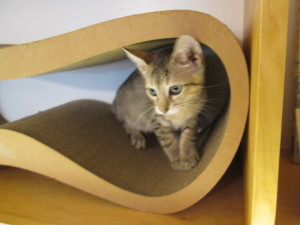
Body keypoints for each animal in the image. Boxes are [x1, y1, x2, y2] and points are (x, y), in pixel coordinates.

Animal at [112, 34, 206, 171]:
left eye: (176, 89)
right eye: (152, 91)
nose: (163, 109)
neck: (180, 113)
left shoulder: (193, 118)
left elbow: (188, 135)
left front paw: (188, 155)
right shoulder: (157, 120)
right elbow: (168, 141)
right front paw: (177, 159)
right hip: (133, 114)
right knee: (126, 122)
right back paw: (136, 136)